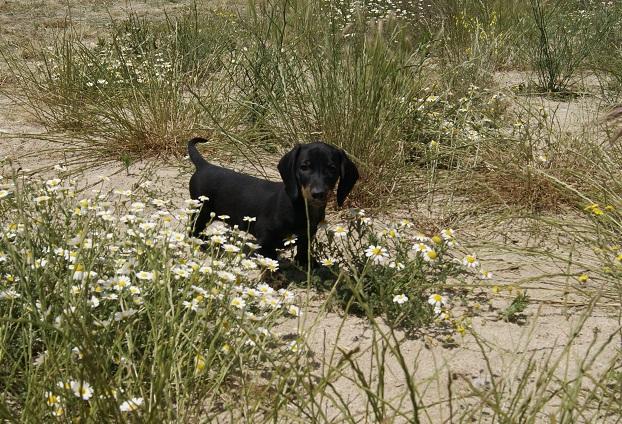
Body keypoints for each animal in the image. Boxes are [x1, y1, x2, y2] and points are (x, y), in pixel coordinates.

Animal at [188, 137, 358, 264]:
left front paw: (306, 264)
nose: (318, 194)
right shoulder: (265, 239)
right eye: (304, 167)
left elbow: (303, 251)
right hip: (201, 210)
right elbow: (269, 259)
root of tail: (204, 165)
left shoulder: (307, 236)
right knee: (193, 230)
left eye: (332, 169)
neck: (300, 207)